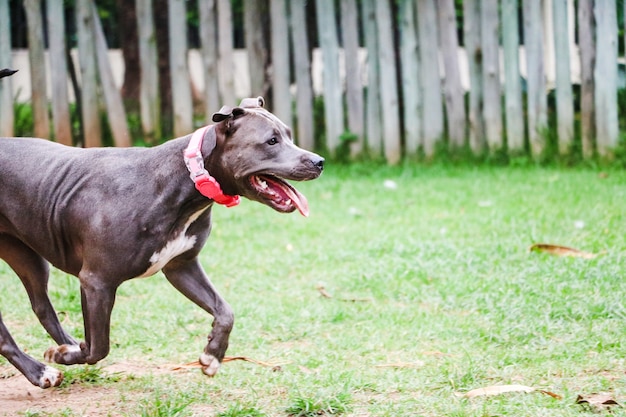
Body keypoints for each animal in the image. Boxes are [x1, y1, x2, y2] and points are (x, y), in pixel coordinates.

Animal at [0, 96, 322, 386]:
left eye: (289, 136)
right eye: (271, 141)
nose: (319, 161)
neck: (183, 182)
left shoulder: (181, 267)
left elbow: (225, 311)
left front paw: (212, 355)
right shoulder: (96, 281)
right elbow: (98, 348)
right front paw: (64, 356)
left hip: (29, 258)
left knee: (42, 307)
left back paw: (65, 346)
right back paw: (40, 371)